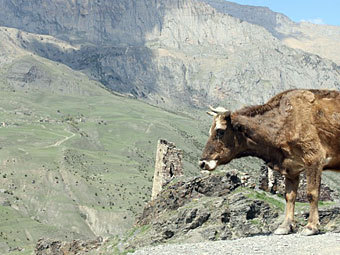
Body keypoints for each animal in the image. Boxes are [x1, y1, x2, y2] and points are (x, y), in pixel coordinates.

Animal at [199, 89, 340, 235]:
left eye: (220, 131)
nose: (202, 163)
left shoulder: (314, 158)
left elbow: (311, 193)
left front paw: (311, 227)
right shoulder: (291, 167)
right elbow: (289, 196)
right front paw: (285, 226)